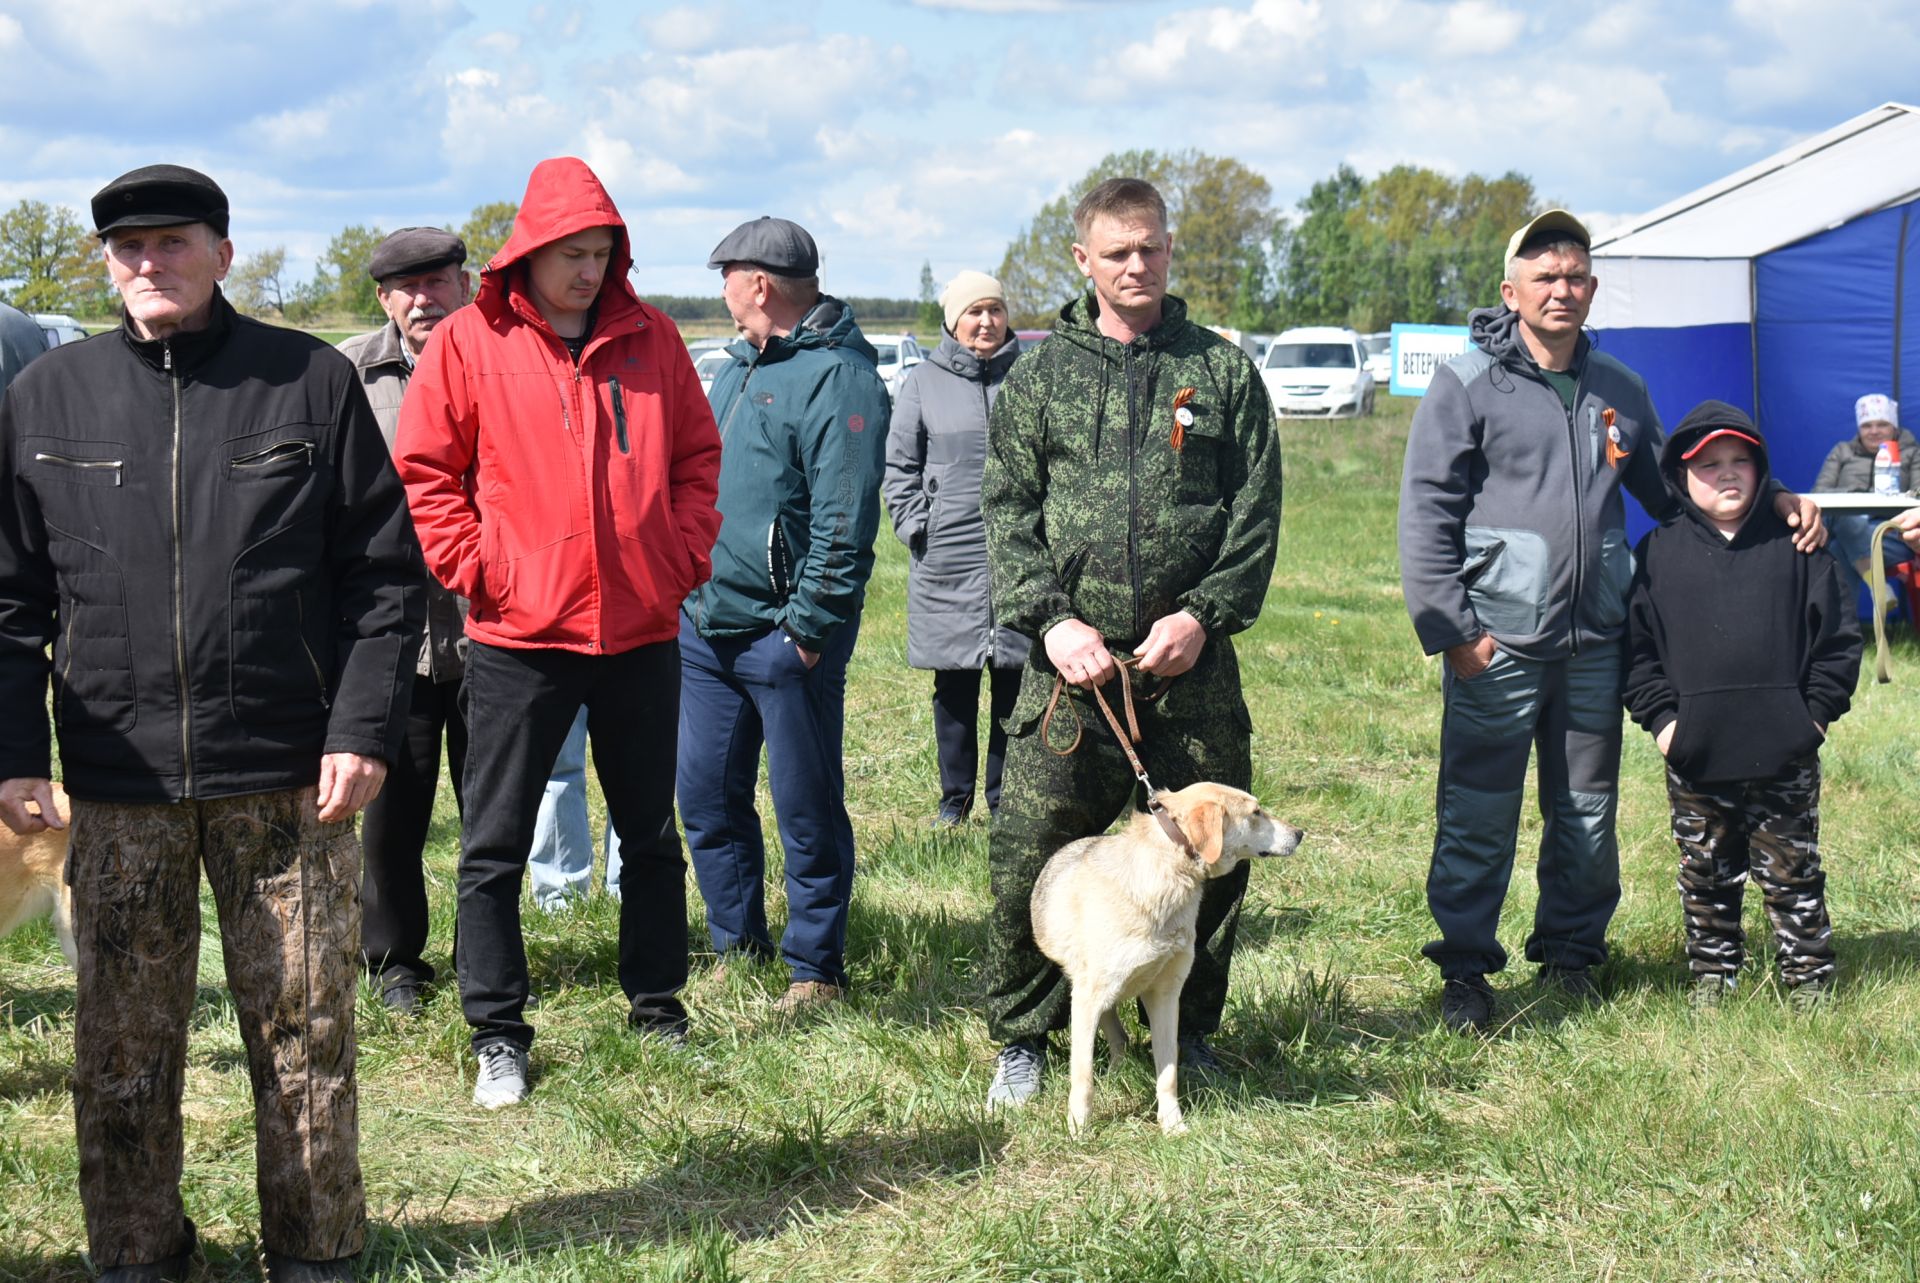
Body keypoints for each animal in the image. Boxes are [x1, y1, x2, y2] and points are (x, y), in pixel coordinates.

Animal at [1036, 783, 1305, 1129]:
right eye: (1256, 812)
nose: (1300, 833)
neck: (1168, 875)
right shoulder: (1088, 998)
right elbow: (1082, 1078)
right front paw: (1078, 1129)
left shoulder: (1165, 995)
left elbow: (1168, 1073)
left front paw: (1172, 1125)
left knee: (1120, 1037)